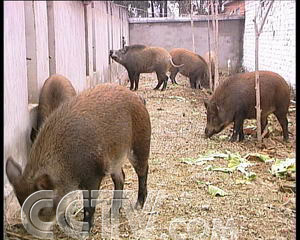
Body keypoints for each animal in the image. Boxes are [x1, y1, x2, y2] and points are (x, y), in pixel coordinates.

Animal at [6, 83, 152, 232]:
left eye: (41, 209)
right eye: (22, 206)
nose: (33, 232)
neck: (65, 159)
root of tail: (138, 98)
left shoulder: (94, 175)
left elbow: (89, 204)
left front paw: (84, 231)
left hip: (140, 143)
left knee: (143, 170)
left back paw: (138, 206)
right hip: (115, 159)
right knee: (121, 176)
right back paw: (113, 212)